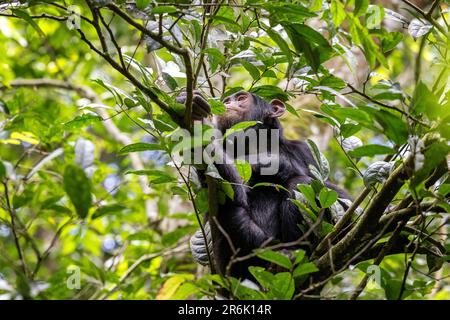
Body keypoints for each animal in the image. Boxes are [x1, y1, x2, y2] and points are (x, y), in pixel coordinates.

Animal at [177, 90, 352, 280]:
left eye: (241, 98)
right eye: (228, 100)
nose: (228, 103)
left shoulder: (306, 150)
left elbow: (345, 208)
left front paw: (270, 161)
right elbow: (217, 194)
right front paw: (194, 116)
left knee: (299, 183)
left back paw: (291, 256)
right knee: (229, 208)